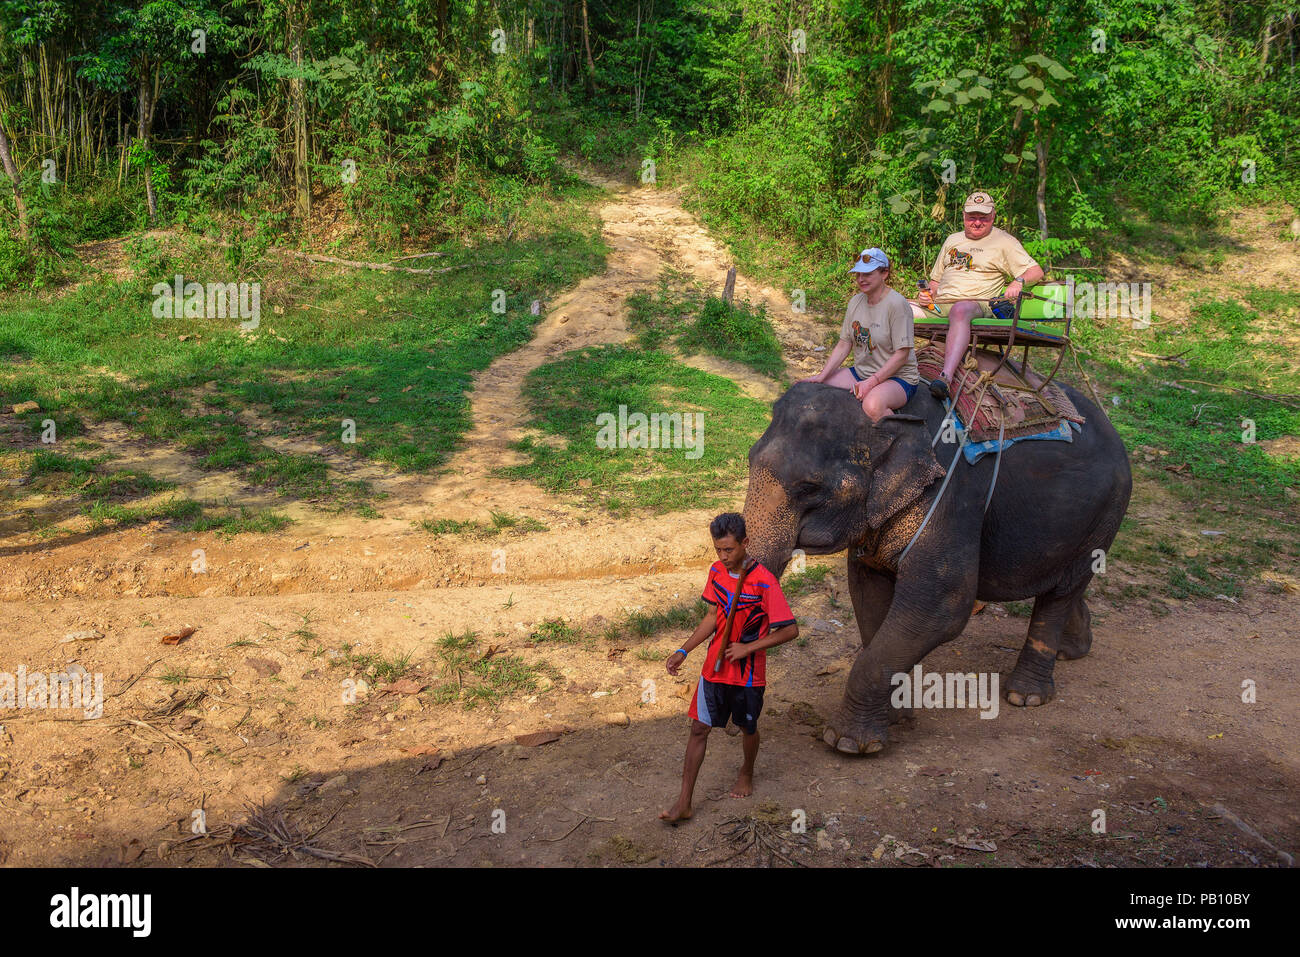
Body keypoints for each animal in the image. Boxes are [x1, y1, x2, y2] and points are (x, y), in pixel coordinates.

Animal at [748, 382, 1133, 754]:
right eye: (749, 458)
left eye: (809, 487)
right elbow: (868, 595)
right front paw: (897, 715)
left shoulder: (950, 499)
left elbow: (941, 607)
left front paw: (849, 743)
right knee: (1063, 586)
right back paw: (1072, 650)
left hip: (1107, 512)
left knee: (1061, 592)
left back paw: (1026, 696)